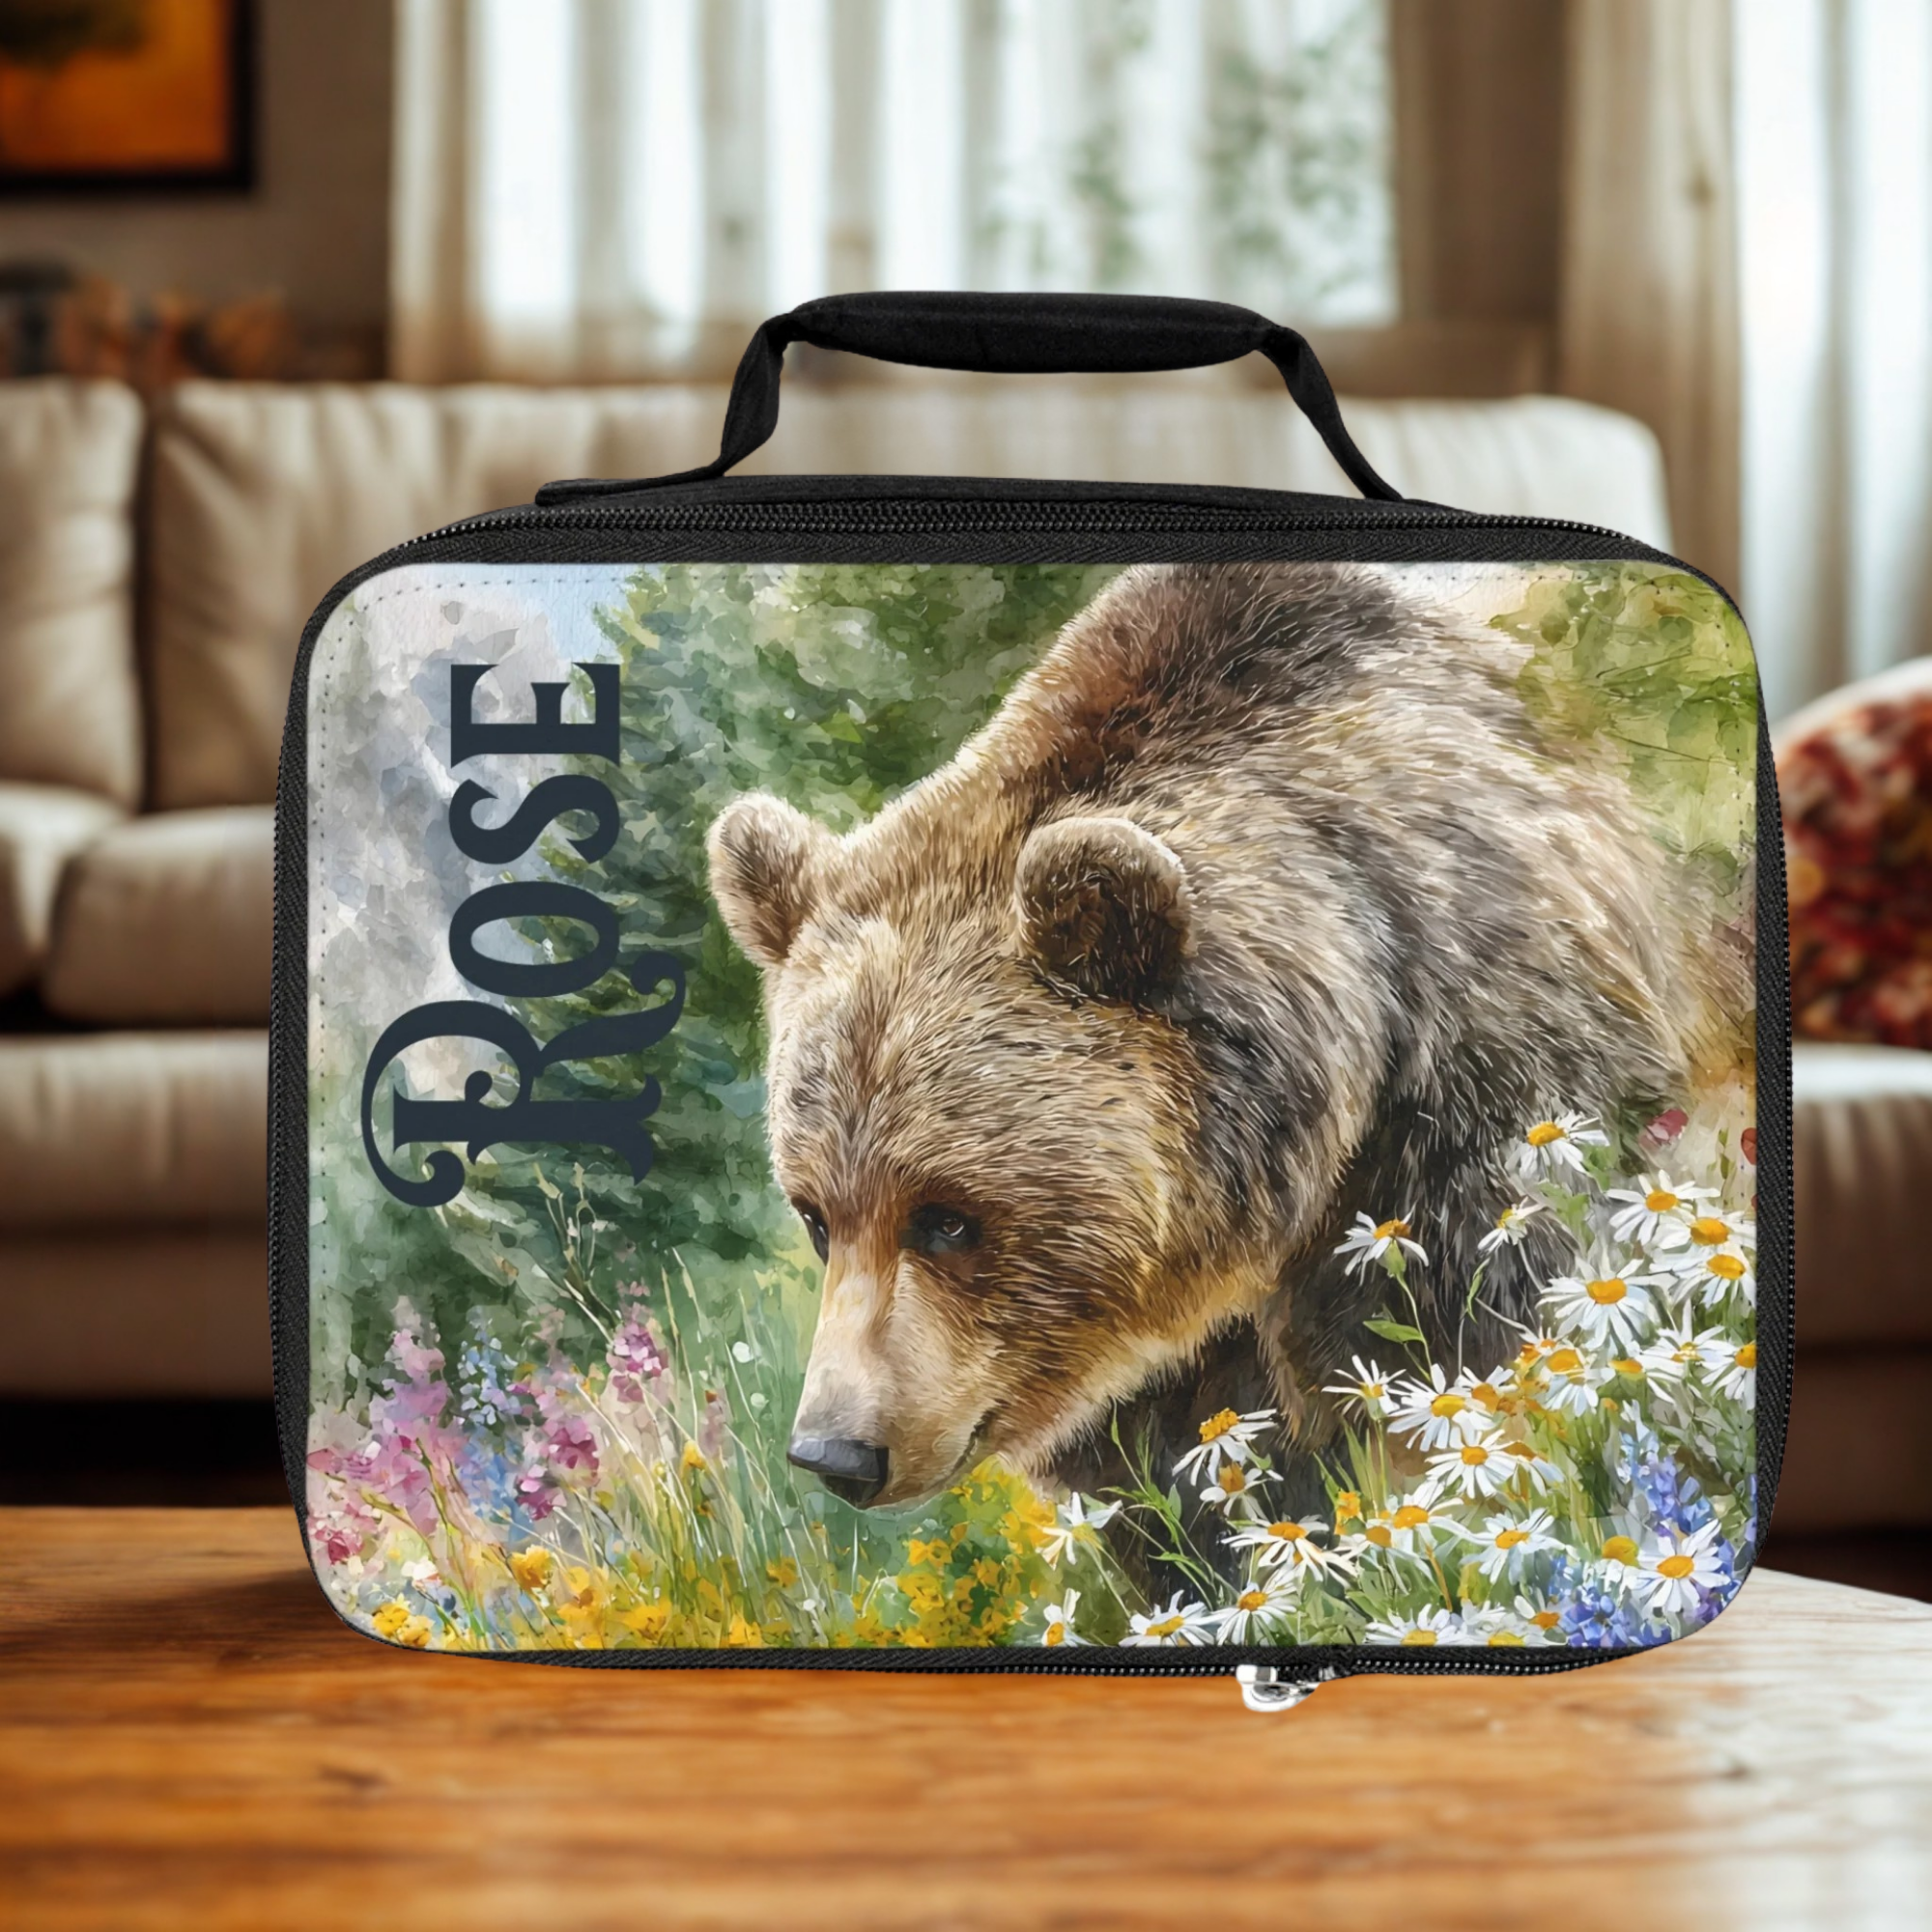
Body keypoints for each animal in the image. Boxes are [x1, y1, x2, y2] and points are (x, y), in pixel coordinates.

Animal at [705, 562, 1730, 1539]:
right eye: (816, 1215)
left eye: (948, 1217)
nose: (836, 1454)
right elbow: (1180, 1491)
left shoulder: (1487, 1087)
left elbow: (1461, 1344)